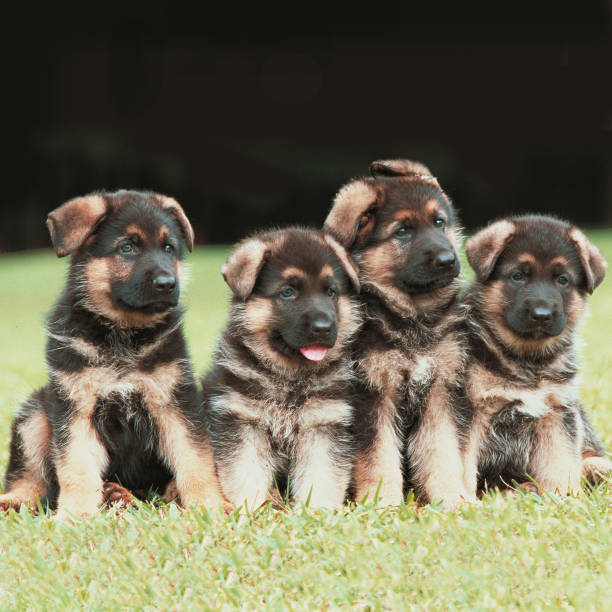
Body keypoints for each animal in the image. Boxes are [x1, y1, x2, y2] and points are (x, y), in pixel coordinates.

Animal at [0, 191, 225, 516]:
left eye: (168, 248)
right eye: (127, 247)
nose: (168, 284)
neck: (122, 333)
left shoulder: (175, 402)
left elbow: (195, 459)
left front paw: (210, 506)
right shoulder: (75, 407)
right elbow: (76, 467)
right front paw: (77, 514)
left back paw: (127, 494)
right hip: (35, 411)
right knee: (30, 479)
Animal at [203, 227, 360, 510]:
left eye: (331, 292)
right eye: (288, 292)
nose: (323, 328)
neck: (289, 377)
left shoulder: (323, 425)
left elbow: (321, 476)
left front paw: (316, 512)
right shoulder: (243, 422)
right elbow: (246, 473)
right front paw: (250, 509)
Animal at [326, 160, 474, 510]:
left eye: (439, 222)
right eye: (402, 231)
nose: (448, 260)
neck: (412, 318)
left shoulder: (440, 392)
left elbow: (442, 452)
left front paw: (452, 499)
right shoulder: (372, 397)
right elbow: (377, 458)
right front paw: (383, 504)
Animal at [464, 216, 612, 498]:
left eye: (562, 280)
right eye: (518, 276)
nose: (541, 315)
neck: (526, 360)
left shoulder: (557, 412)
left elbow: (560, 463)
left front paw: (561, 497)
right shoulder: (474, 412)